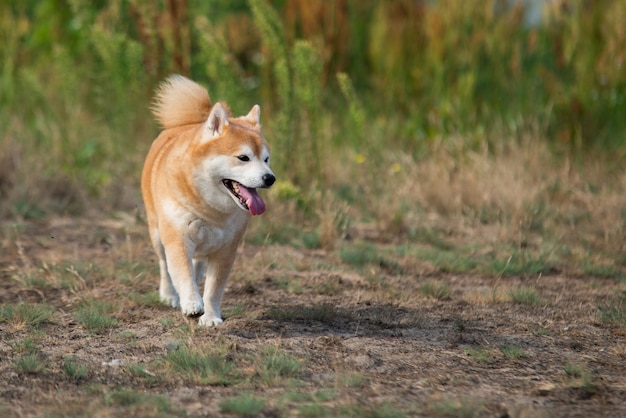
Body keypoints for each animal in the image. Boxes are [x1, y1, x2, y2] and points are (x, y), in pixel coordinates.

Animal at [141, 75, 272, 324]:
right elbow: (182, 274)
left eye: (266, 159)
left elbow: (213, 288)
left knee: (198, 265)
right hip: (157, 234)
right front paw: (192, 304)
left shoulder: (226, 250)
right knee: (164, 267)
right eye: (243, 157)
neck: (211, 211)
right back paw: (169, 294)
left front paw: (210, 317)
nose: (270, 178)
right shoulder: (178, 239)